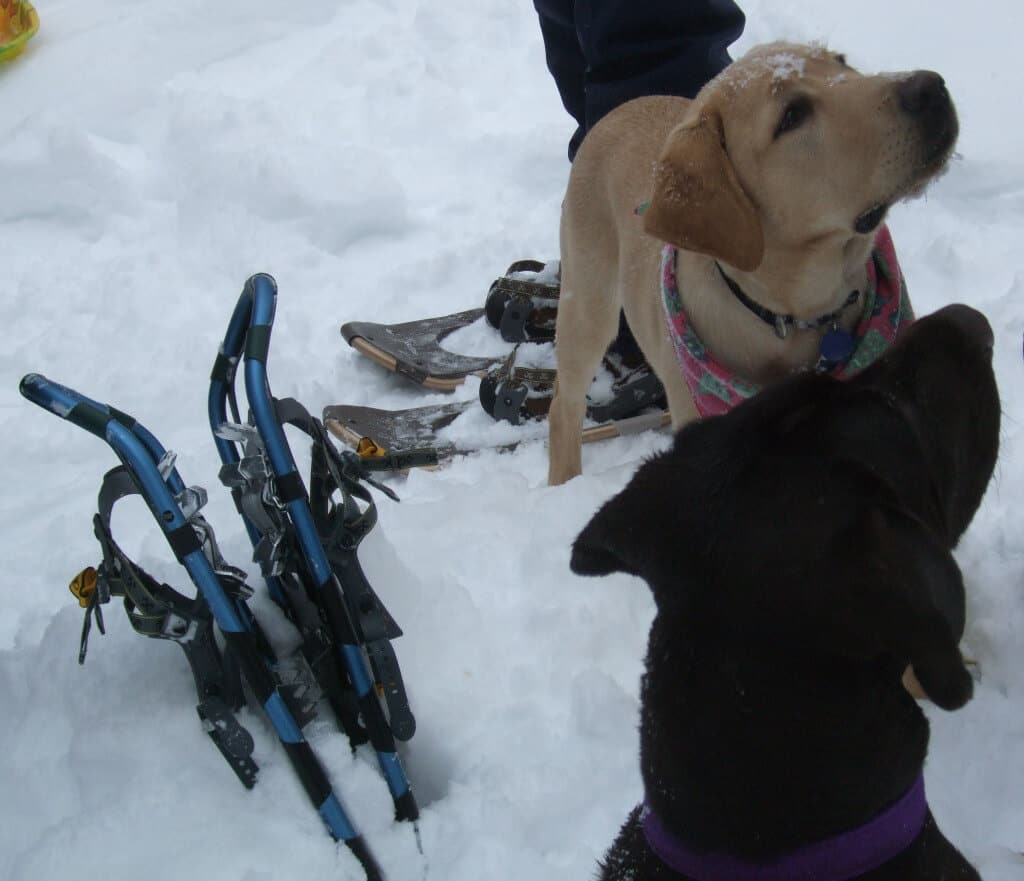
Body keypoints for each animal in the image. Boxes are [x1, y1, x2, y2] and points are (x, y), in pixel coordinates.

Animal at [552, 41, 958, 485]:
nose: (930, 87)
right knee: (564, 405)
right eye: (792, 115)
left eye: (842, 62)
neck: (796, 316)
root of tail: (620, 108)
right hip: (587, 302)